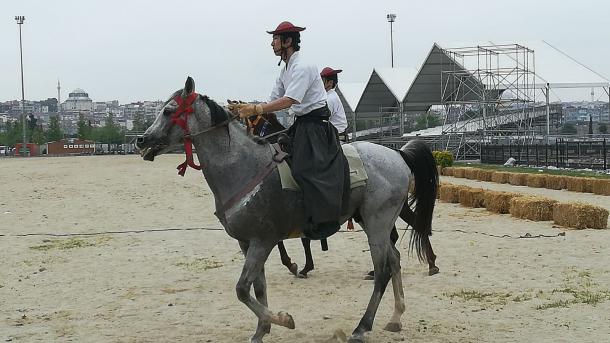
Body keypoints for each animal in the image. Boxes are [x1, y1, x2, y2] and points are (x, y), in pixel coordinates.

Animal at [135, 78, 434, 343]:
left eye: (168, 110)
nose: (141, 140)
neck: (244, 167)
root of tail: (397, 154)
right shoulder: (249, 243)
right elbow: (257, 286)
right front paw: (261, 330)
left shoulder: (262, 241)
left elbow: (242, 289)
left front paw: (282, 319)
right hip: (371, 222)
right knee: (394, 260)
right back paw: (395, 317)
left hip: (377, 222)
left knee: (383, 270)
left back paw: (362, 327)